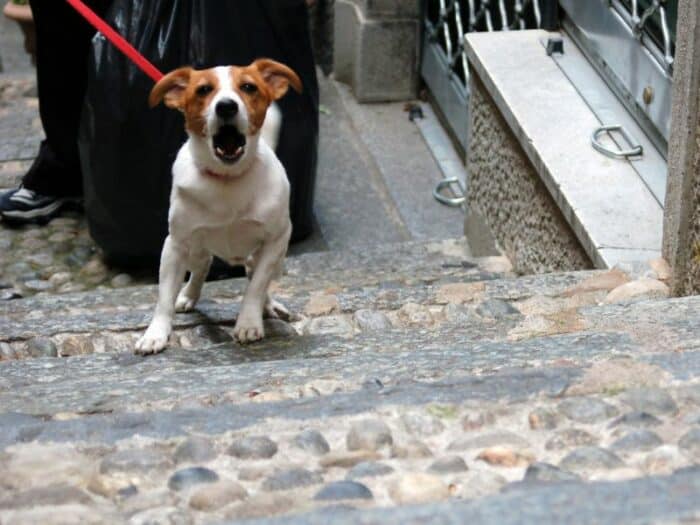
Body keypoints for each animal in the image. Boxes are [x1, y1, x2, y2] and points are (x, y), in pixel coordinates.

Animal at [135, 59, 302, 354]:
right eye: (203, 90)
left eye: (248, 87)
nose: (226, 106)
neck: (227, 179)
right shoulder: (175, 246)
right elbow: (164, 297)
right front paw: (155, 333)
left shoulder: (276, 241)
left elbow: (256, 287)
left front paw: (249, 322)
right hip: (194, 249)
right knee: (202, 266)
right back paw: (188, 296)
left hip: (272, 257)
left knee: (256, 277)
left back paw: (269, 306)